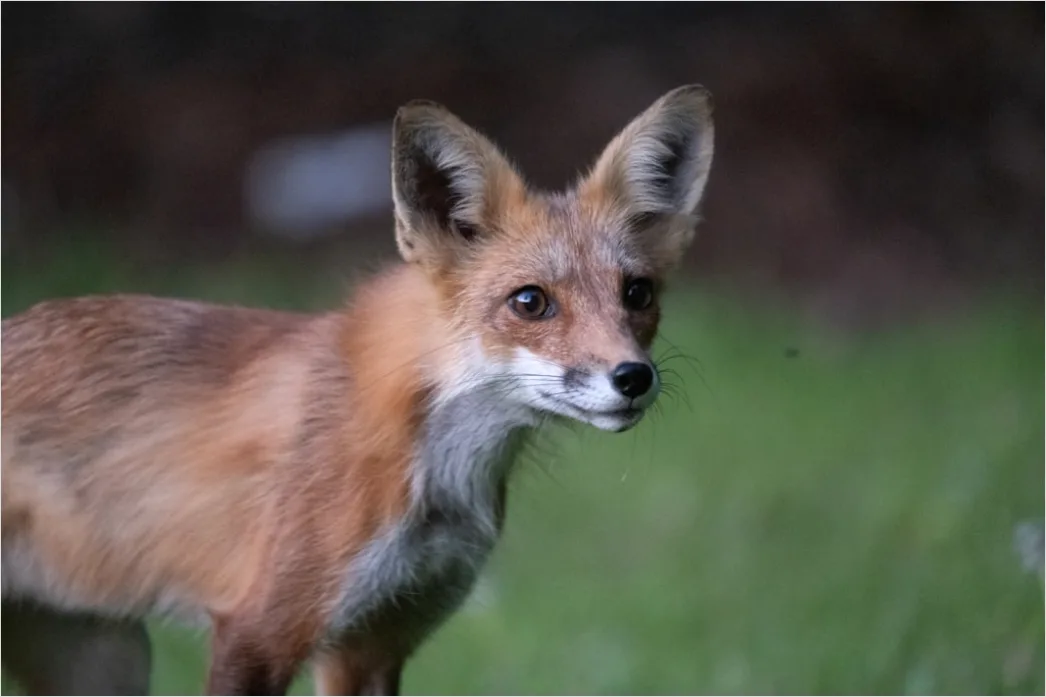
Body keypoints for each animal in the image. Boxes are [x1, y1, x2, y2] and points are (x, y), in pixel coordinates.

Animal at [1, 85, 714, 695]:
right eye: (530, 302)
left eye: (637, 293)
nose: (633, 377)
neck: (433, 468)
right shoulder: (257, 632)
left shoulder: (376, 640)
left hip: (104, 659)